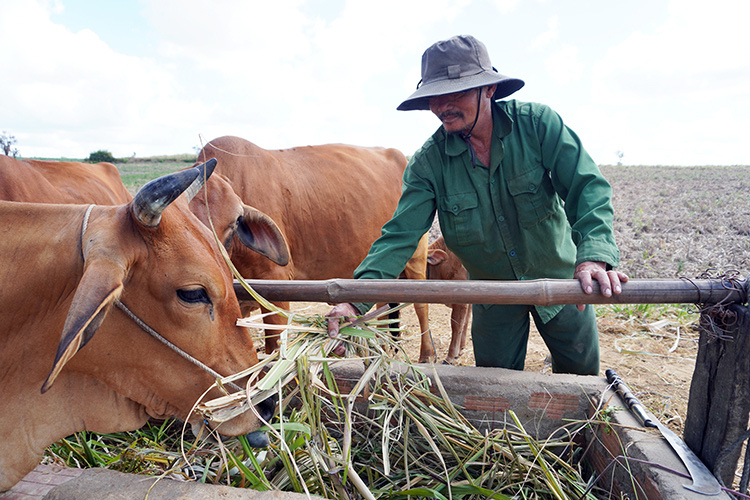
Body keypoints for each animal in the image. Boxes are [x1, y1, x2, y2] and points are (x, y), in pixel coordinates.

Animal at [197, 137, 434, 362]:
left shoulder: (275, 281)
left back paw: (427, 354)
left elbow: (275, 345)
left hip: (416, 256)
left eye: (236, 221)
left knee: (421, 306)